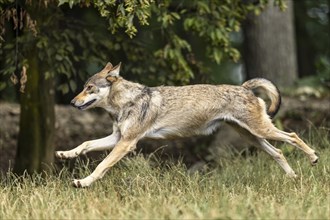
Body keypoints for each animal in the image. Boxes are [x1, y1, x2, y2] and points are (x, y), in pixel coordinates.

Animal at [55, 61, 318, 187]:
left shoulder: (126, 143)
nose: (71, 101)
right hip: (253, 137)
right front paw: (66, 154)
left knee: (293, 136)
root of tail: (243, 87)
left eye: (89, 88)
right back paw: (293, 178)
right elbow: (86, 144)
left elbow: (101, 167)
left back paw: (314, 158)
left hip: (261, 131)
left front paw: (83, 182)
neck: (125, 101)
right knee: (279, 152)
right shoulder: (117, 138)